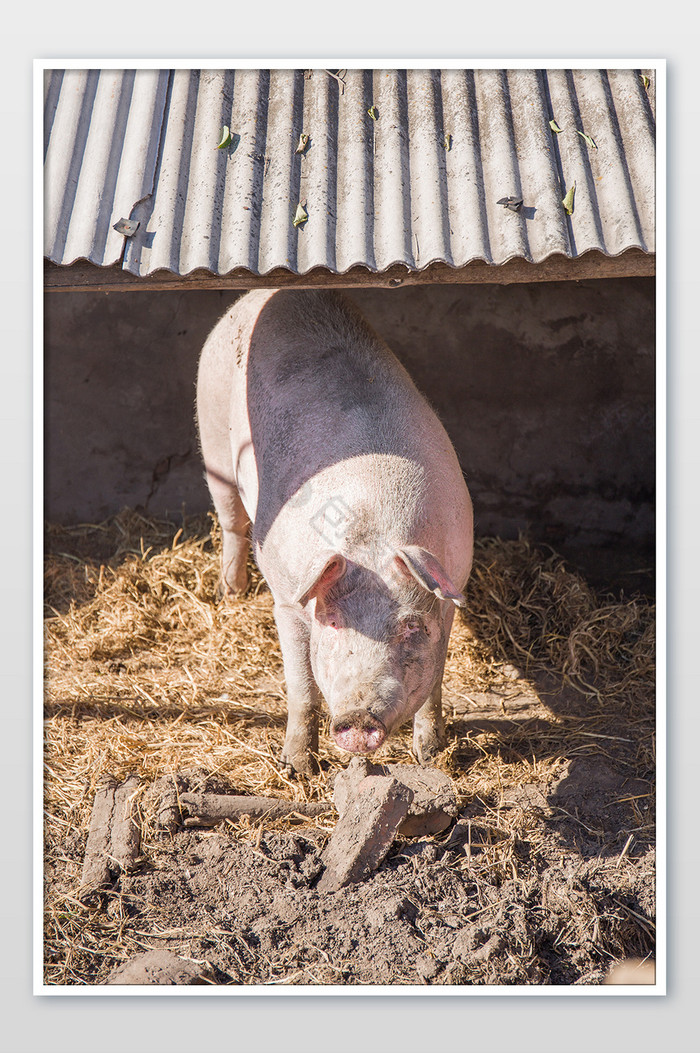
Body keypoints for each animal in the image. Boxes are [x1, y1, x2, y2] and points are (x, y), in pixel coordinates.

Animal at [193, 288, 471, 775]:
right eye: (336, 622)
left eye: (411, 626)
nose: (359, 716)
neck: (373, 537)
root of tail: (265, 291)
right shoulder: (288, 598)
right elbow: (302, 687)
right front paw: (298, 769)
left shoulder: (453, 586)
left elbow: (434, 686)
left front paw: (432, 756)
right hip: (212, 439)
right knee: (232, 523)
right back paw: (231, 592)